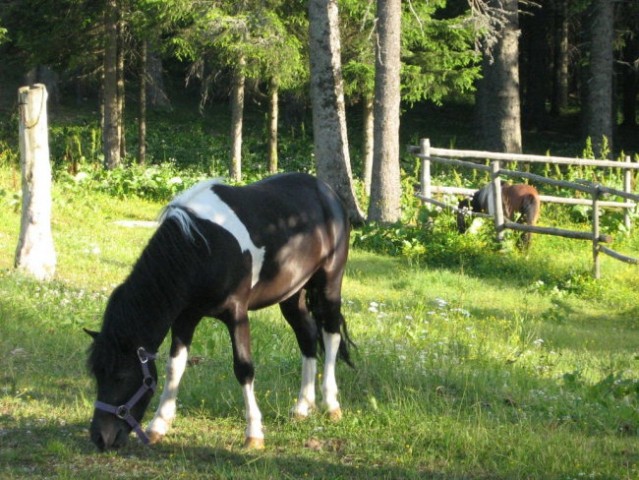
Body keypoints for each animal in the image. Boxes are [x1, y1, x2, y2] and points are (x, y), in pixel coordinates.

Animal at [85, 172, 352, 450]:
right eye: (97, 375)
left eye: (121, 376)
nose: (101, 438)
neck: (201, 247)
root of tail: (327, 192)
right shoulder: (186, 317)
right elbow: (174, 367)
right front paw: (158, 425)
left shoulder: (237, 314)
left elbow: (244, 368)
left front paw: (254, 433)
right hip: (292, 293)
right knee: (307, 337)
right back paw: (302, 407)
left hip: (329, 284)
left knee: (331, 336)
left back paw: (331, 405)